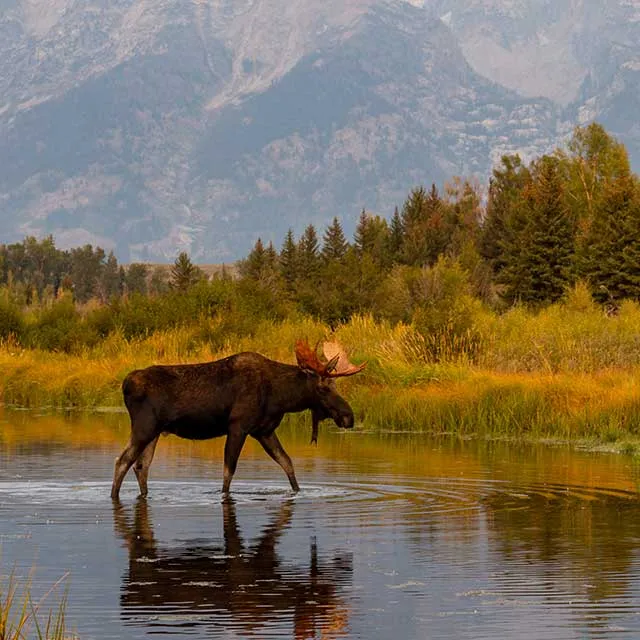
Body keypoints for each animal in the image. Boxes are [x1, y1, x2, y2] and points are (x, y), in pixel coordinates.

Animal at [111, 340, 365, 500]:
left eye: (335, 385)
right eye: (323, 388)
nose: (348, 416)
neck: (280, 397)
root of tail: (125, 384)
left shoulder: (264, 430)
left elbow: (287, 462)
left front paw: (298, 491)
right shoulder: (238, 426)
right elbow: (228, 472)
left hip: (155, 432)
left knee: (141, 467)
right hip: (144, 428)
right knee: (122, 460)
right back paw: (114, 496)